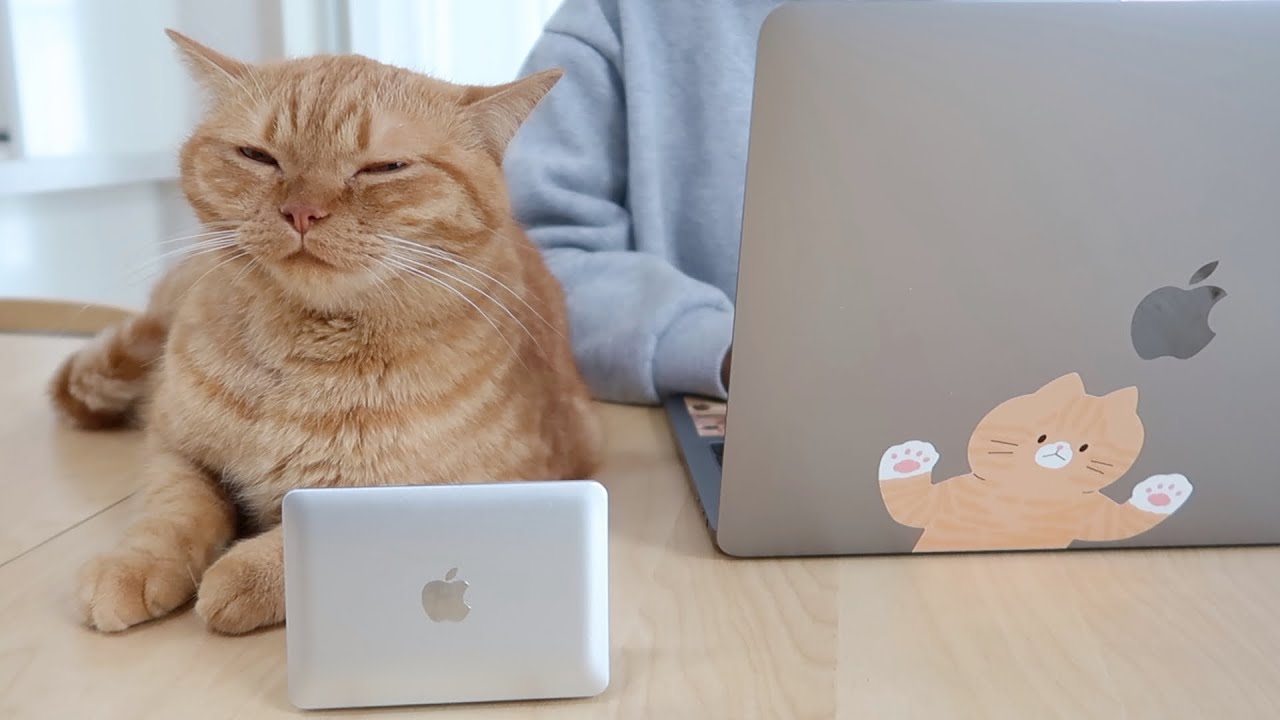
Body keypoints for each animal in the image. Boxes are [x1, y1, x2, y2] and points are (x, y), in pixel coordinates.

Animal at [48, 31, 602, 635]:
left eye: (384, 167)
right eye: (257, 156)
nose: (302, 211)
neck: (302, 355)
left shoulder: (498, 488)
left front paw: (243, 575)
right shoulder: (170, 447)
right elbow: (173, 509)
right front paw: (136, 564)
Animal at [877, 372, 1192, 552]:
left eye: (1085, 447)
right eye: (1041, 437)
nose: (1060, 448)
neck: (1029, 490)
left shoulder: (1092, 516)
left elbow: (1123, 522)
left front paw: (1163, 493)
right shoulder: (947, 498)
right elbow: (911, 506)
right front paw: (909, 459)